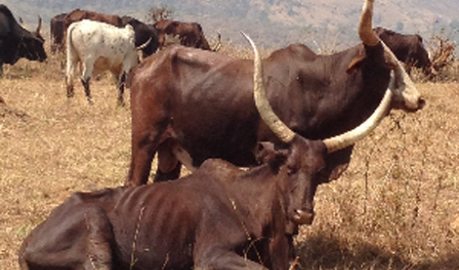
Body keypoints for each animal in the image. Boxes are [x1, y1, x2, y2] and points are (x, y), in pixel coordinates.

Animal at [18, 32, 392, 270]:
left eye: (317, 173)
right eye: (289, 168)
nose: (303, 213)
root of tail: (28, 241)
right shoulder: (211, 254)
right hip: (103, 229)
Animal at [125, 0, 424, 187]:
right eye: (387, 65)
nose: (418, 99)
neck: (321, 86)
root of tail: (146, 66)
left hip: (170, 151)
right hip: (144, 141)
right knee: (134, 182)